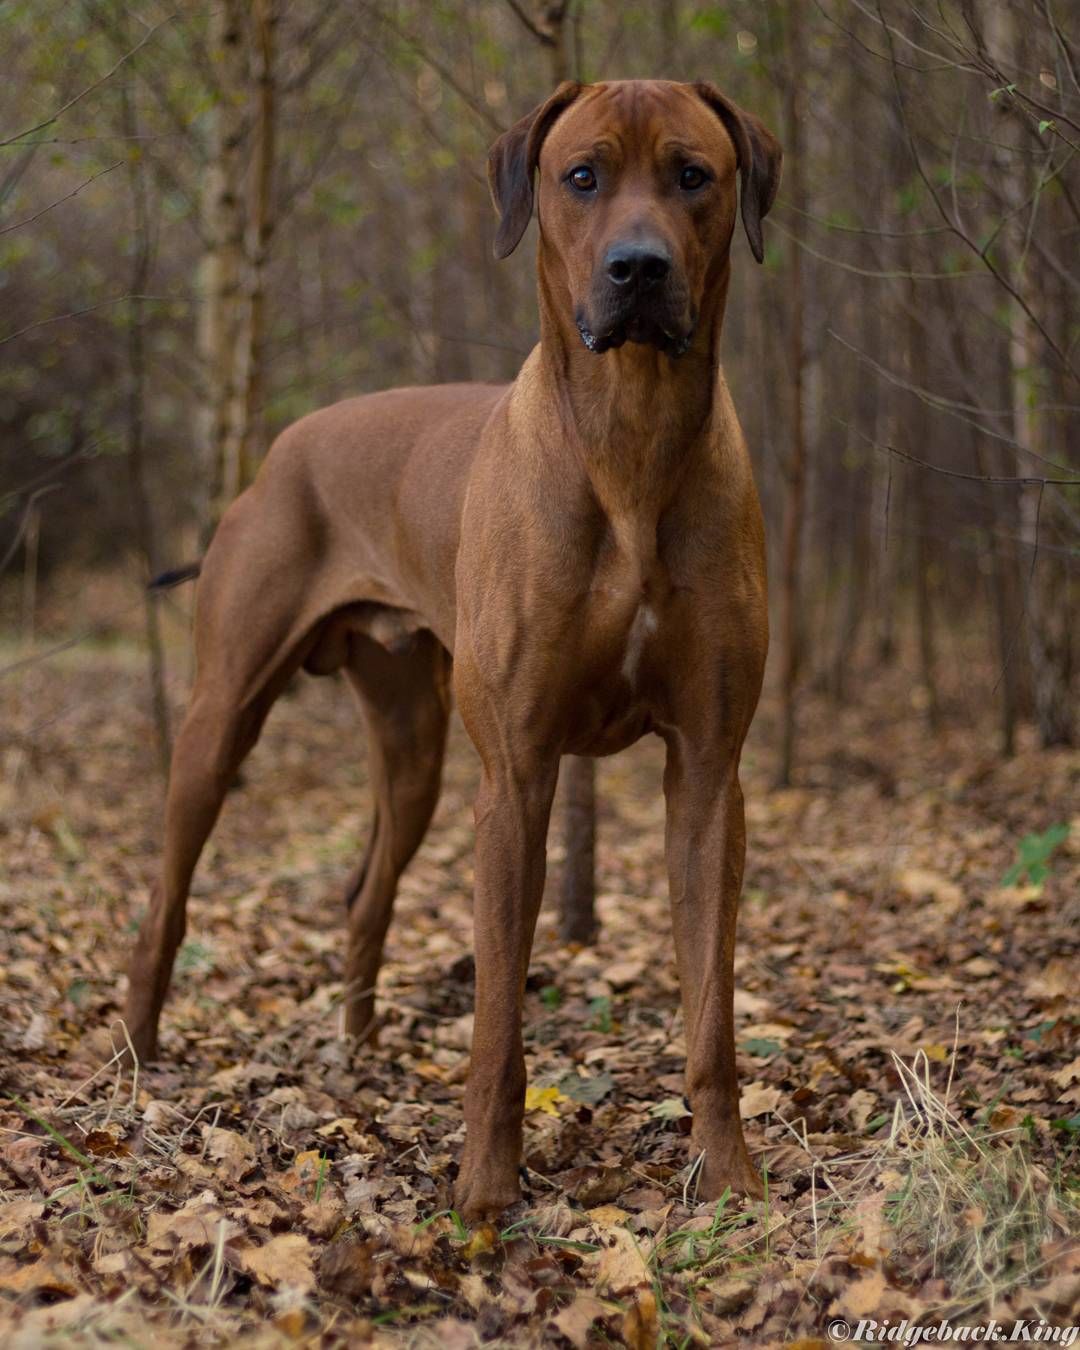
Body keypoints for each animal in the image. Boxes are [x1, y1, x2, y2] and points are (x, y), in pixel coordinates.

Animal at [122, 78, 783, 1220]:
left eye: (695, 175)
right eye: (582, 176)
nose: (639, 269)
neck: (632, 442)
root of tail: (281, 449)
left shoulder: (708, 768)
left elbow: (711, 1012)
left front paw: (730, 1176)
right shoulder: (515, 773)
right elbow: (496, 1030)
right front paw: (484, 1190)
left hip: (414, 744)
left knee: (363, 896)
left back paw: (357, 1052)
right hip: (220, 718)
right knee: (165, 899)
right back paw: (139, 1056)